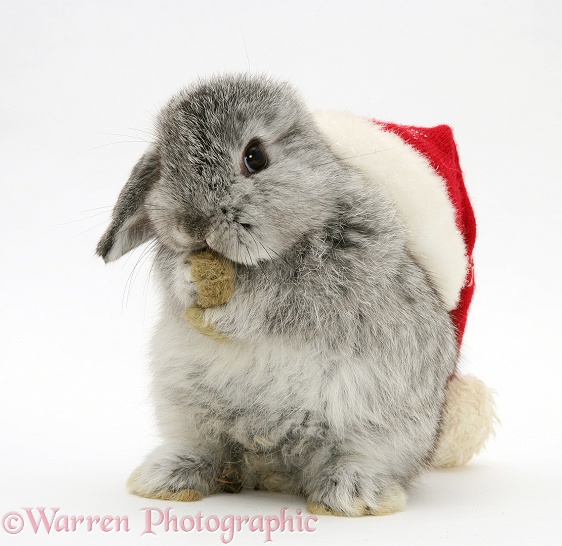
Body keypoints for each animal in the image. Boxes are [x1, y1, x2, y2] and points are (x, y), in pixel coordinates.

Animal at [97, 73, 468, 516]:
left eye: (254, 156)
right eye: (168, 167)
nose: (193, 223)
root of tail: (273, 467)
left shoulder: (336, 273)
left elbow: (274, 298)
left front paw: (223, 312)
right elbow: (178, 278)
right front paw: (191, 280)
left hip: (387, 430)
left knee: (357, 459)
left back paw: (351, 496)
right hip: (186, 408)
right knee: (212, 451)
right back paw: (167, 478)